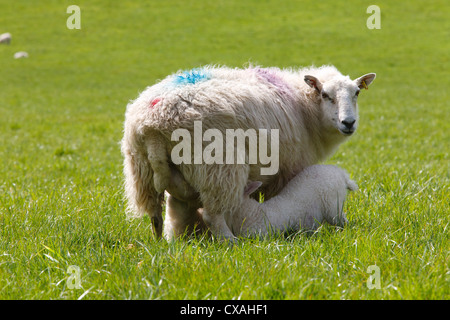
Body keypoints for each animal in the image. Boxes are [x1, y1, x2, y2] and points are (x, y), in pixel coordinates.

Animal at [120, 64, 376, 240]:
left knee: (157, 215)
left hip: (142, 174)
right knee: (213, 213)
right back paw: (230, 242)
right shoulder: (286, 169)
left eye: (357, 93)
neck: (305, 108)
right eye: (325, 95)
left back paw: (164, 244)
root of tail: (152, 124)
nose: (348, 123)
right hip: (219, 167)